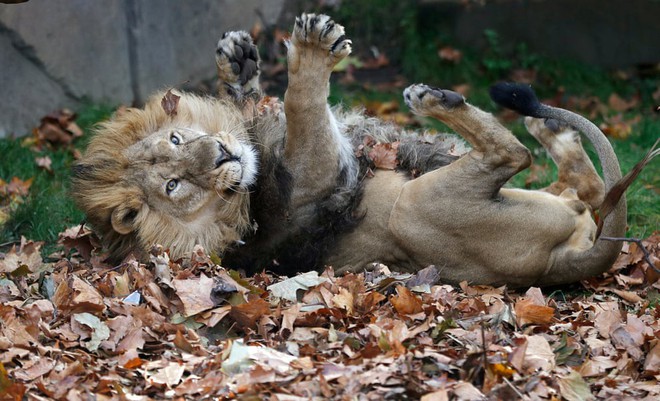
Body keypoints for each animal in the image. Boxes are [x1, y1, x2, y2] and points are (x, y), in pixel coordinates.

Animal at [72, 14, 624, 286]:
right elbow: (301, 103)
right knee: (513, 156)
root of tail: (566, 264)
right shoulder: (315, 174)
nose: (223, 158)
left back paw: (550, 129)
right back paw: (434, 99)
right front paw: (313, 48)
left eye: (176, 140)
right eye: (174, 185)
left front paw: (238, 59)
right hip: (415, 209)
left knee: (589, 184)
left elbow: (259, 100)